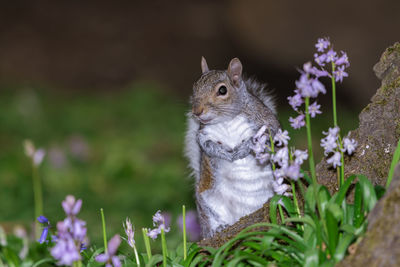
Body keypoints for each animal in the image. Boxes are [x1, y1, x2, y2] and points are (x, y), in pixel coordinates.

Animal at [186, 57, 280, 240]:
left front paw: (244, 149)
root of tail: (242, 215)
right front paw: (227, 154)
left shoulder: (266, 121)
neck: (226, 121)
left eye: (222, 90)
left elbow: (269, 134)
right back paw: (216, 229)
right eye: (194, 87)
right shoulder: (203, 134)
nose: (197, 111)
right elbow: (207, 146)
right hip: (206, 198)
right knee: (208, 217)